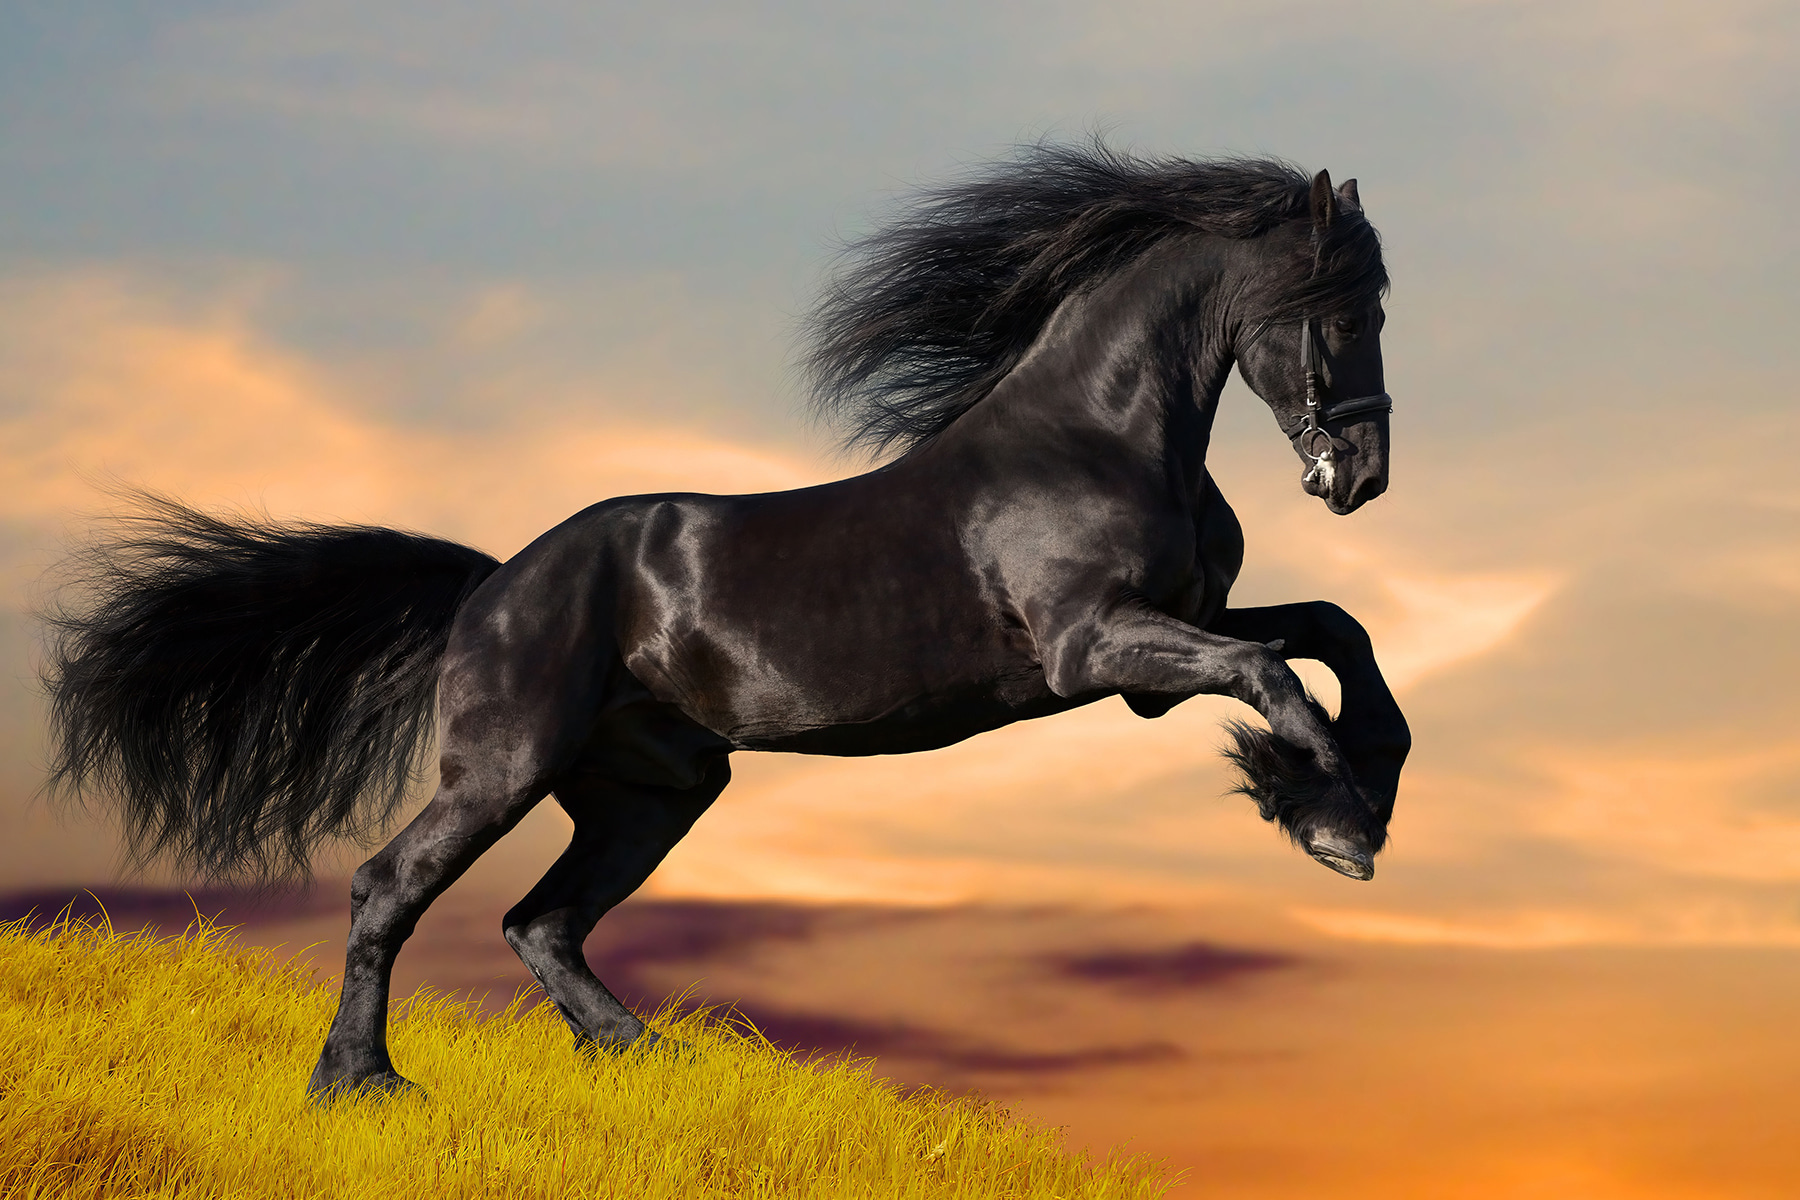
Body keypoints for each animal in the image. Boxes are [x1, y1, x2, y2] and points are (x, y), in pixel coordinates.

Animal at [40, 143, 1410, 1100]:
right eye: (1349, 310)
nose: (1362, 476)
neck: (1098, 436)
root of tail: (491, 585)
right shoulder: (1097, 650)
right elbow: (1275, 674)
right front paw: (1333, 825)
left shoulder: (1162, 650)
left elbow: (1332, 633)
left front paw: (1358, 794)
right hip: (506, 765)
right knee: (394, 888)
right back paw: (361, 1084)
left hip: (654, 790)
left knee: (541, 923)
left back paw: (656, 1064)